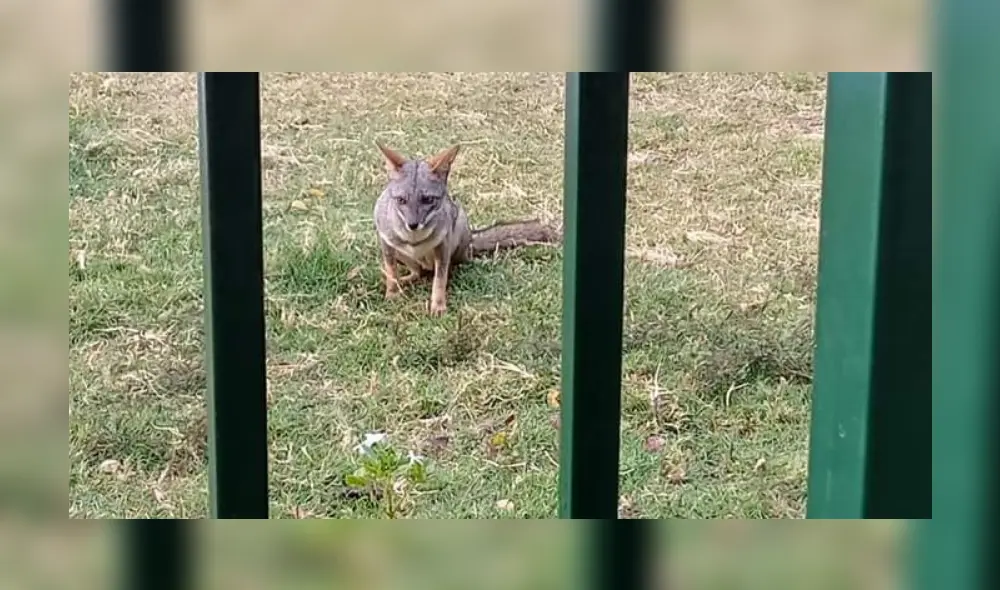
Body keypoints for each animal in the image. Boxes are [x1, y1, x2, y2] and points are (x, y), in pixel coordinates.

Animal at [373, 142, 560, 315]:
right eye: (401, 200)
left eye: (427, 200)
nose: (412, 225)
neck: (414, 240)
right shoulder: (386, 243)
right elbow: (391, 273)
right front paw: (392, 294)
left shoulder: (443, 247)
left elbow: (439, 280)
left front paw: (438, 306)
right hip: (400, 254)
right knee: (416, 273)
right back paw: (403, 280)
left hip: (459, 227)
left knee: (449, 267)